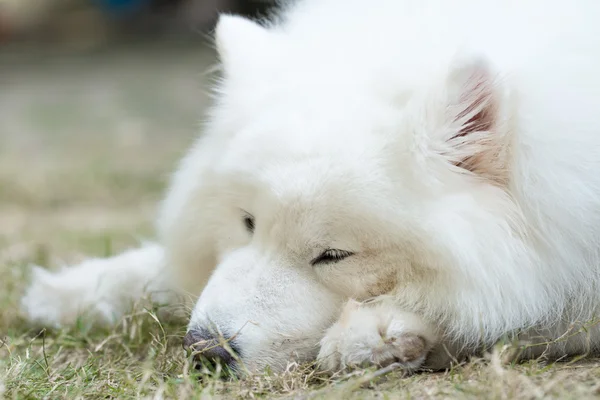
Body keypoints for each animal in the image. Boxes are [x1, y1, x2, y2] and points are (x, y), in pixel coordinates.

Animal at [18, 0, 600, 376]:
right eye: (247, 223)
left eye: (334, 255)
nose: (206, 350)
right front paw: (75, 289)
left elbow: (528, 307)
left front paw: (377, 331)